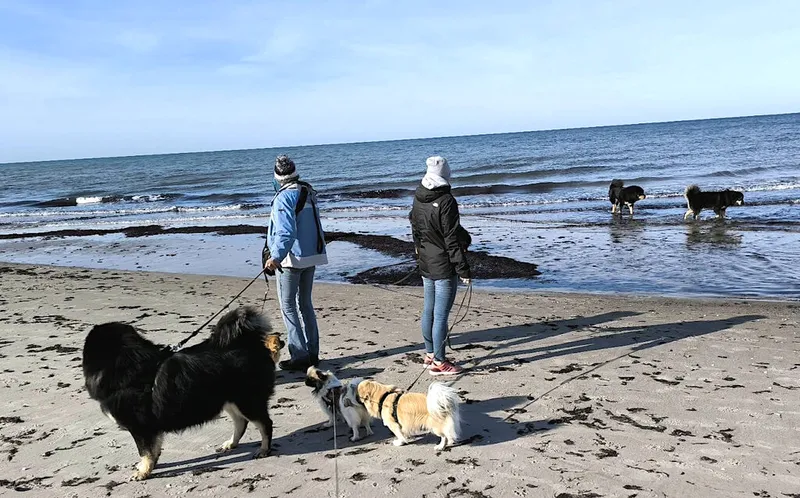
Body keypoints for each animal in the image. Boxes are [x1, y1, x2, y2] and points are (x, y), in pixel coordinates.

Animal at [82, 306, 279, 481]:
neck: (130, 371)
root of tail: (249, 343)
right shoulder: (151, 428)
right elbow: (154, 450)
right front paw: (151, 465)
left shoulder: (141, 428)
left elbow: (145, 451)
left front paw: (143, 471)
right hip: (229, 401)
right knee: (241, 423)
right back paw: (231, 443)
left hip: (247, 401)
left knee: (265, 424)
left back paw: (263, 449)